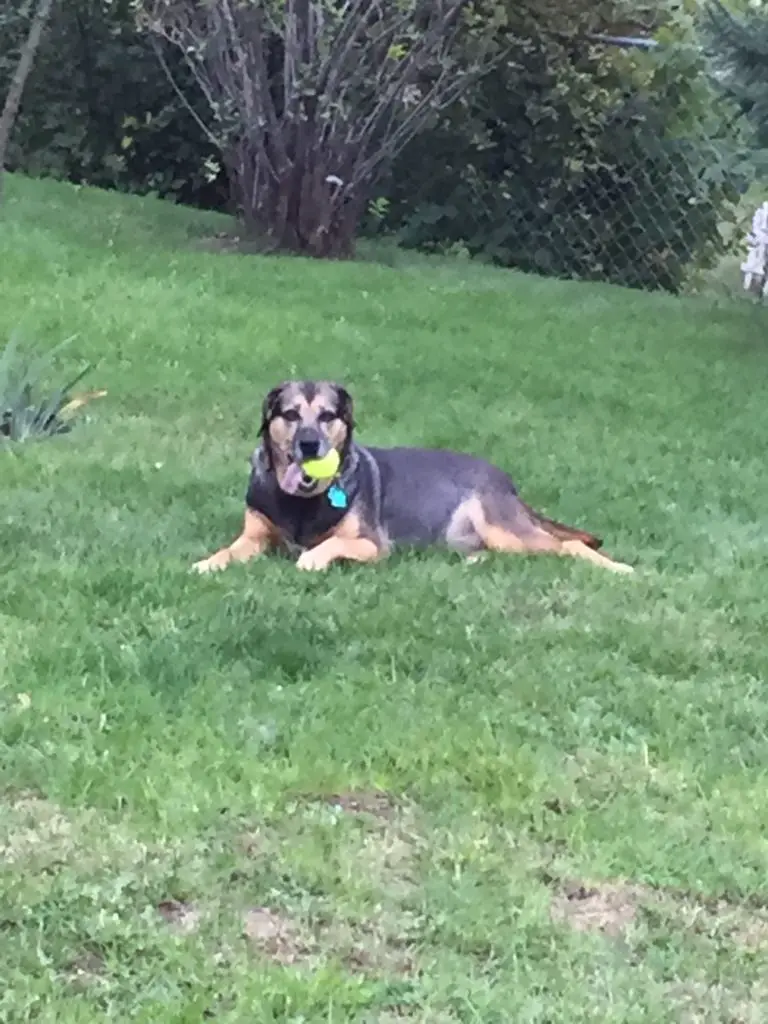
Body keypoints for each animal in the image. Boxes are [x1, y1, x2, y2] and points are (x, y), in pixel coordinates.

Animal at [193, 380, 638, 577]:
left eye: (328, 416)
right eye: (289, 414)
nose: (309, 445)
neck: (302, 501)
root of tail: (504, 479)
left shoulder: (372, 544)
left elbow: (331, 543)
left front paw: (311, 558)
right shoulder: (254, 535)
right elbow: (231, 550)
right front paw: (208, 563)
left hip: (505, 530)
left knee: (566, 547)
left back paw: (618, 569)